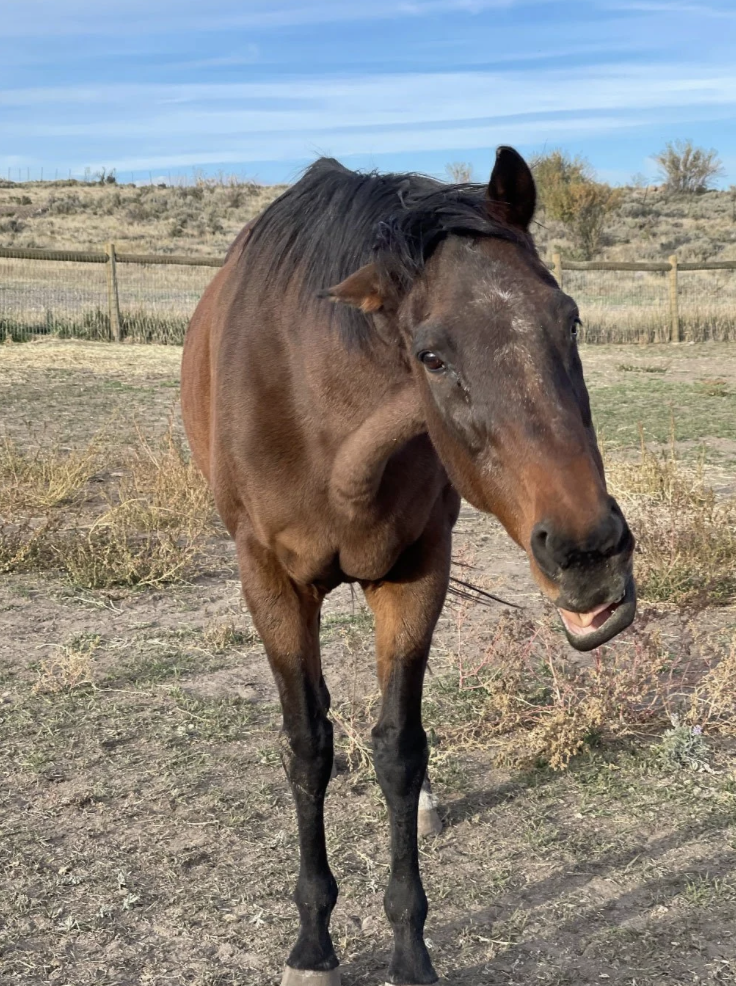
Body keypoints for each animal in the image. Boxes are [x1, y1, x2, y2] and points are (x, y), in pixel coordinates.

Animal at [181, 146, 636, 986]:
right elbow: (307, 744)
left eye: (570, 319)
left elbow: (399, 747)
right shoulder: (270, 583)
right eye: (432, 355)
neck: (319, 412)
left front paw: (408, 948)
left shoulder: (416, 573)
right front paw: (313, 946)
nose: (589, 554)